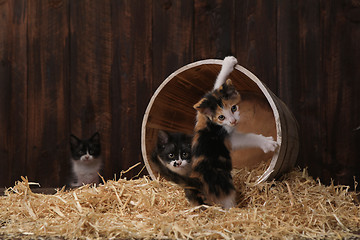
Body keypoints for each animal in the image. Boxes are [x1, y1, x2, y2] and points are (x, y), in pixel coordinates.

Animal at [152, 56, 278, 208]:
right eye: (221, 117)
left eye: (234, 108)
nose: (233, 121)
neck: (210, 122)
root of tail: (198, 182)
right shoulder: (227, 138)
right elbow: (247, 137)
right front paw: (268, 143)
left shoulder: (200, 113)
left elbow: (216, 84)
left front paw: (228, 63)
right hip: (226, 190)